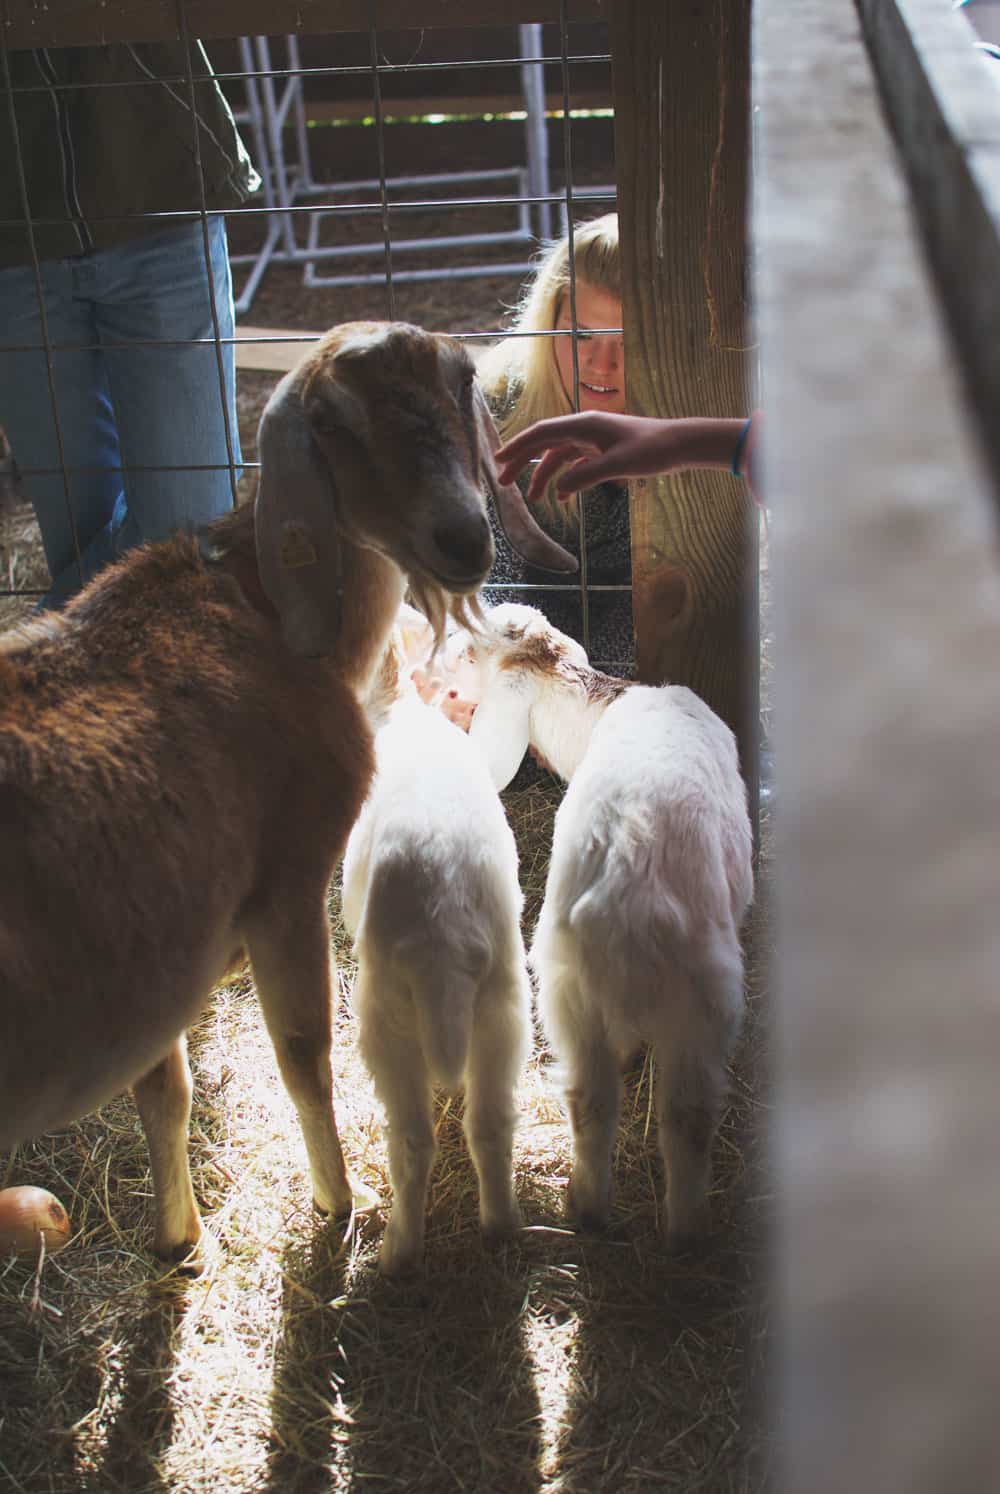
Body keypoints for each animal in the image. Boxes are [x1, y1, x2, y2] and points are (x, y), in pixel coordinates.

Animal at [0, 321, 573, 1266]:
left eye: (458, 383)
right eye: (332, 423)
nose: (462, 537)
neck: (264, 613)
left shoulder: (158, 956)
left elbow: (166, 1089)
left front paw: (179, 1238)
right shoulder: (286, 888)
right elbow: (305, 1056)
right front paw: (337, 1203)